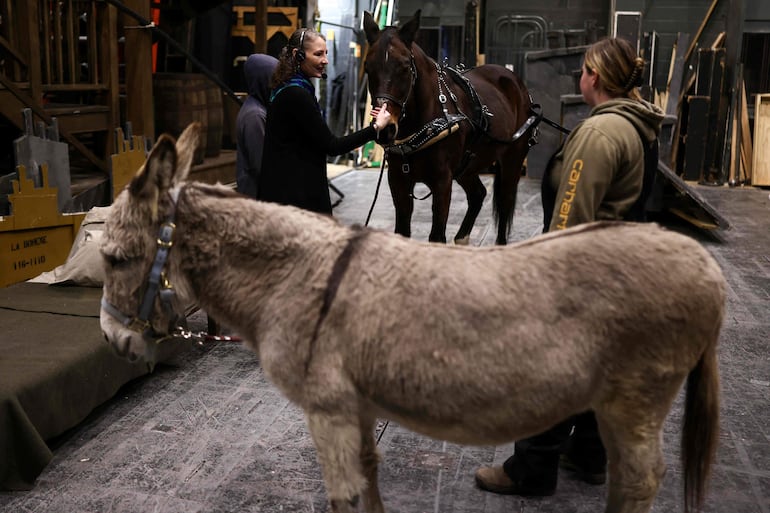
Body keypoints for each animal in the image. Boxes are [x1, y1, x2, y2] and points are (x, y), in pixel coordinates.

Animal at [100, 123, 725, 513]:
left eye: (114, 258)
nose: (112, 340)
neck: (295, 275)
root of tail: (706, 266)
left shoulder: (327, 410)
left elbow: (346, 497)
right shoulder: (357, 409)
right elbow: (369, 487)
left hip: (635, 400)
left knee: (640, 482)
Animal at [363, 10, 536, 245]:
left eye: (405, 67)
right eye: (367, 67)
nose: (385, 128)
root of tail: (513, 79)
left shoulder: (442, 182)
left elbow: (437, 236)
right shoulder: (398, 181)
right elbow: (402, 231)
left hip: (512, 160)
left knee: (505, 202)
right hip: (467, 167)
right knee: (478, 194)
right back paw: (462, 238)